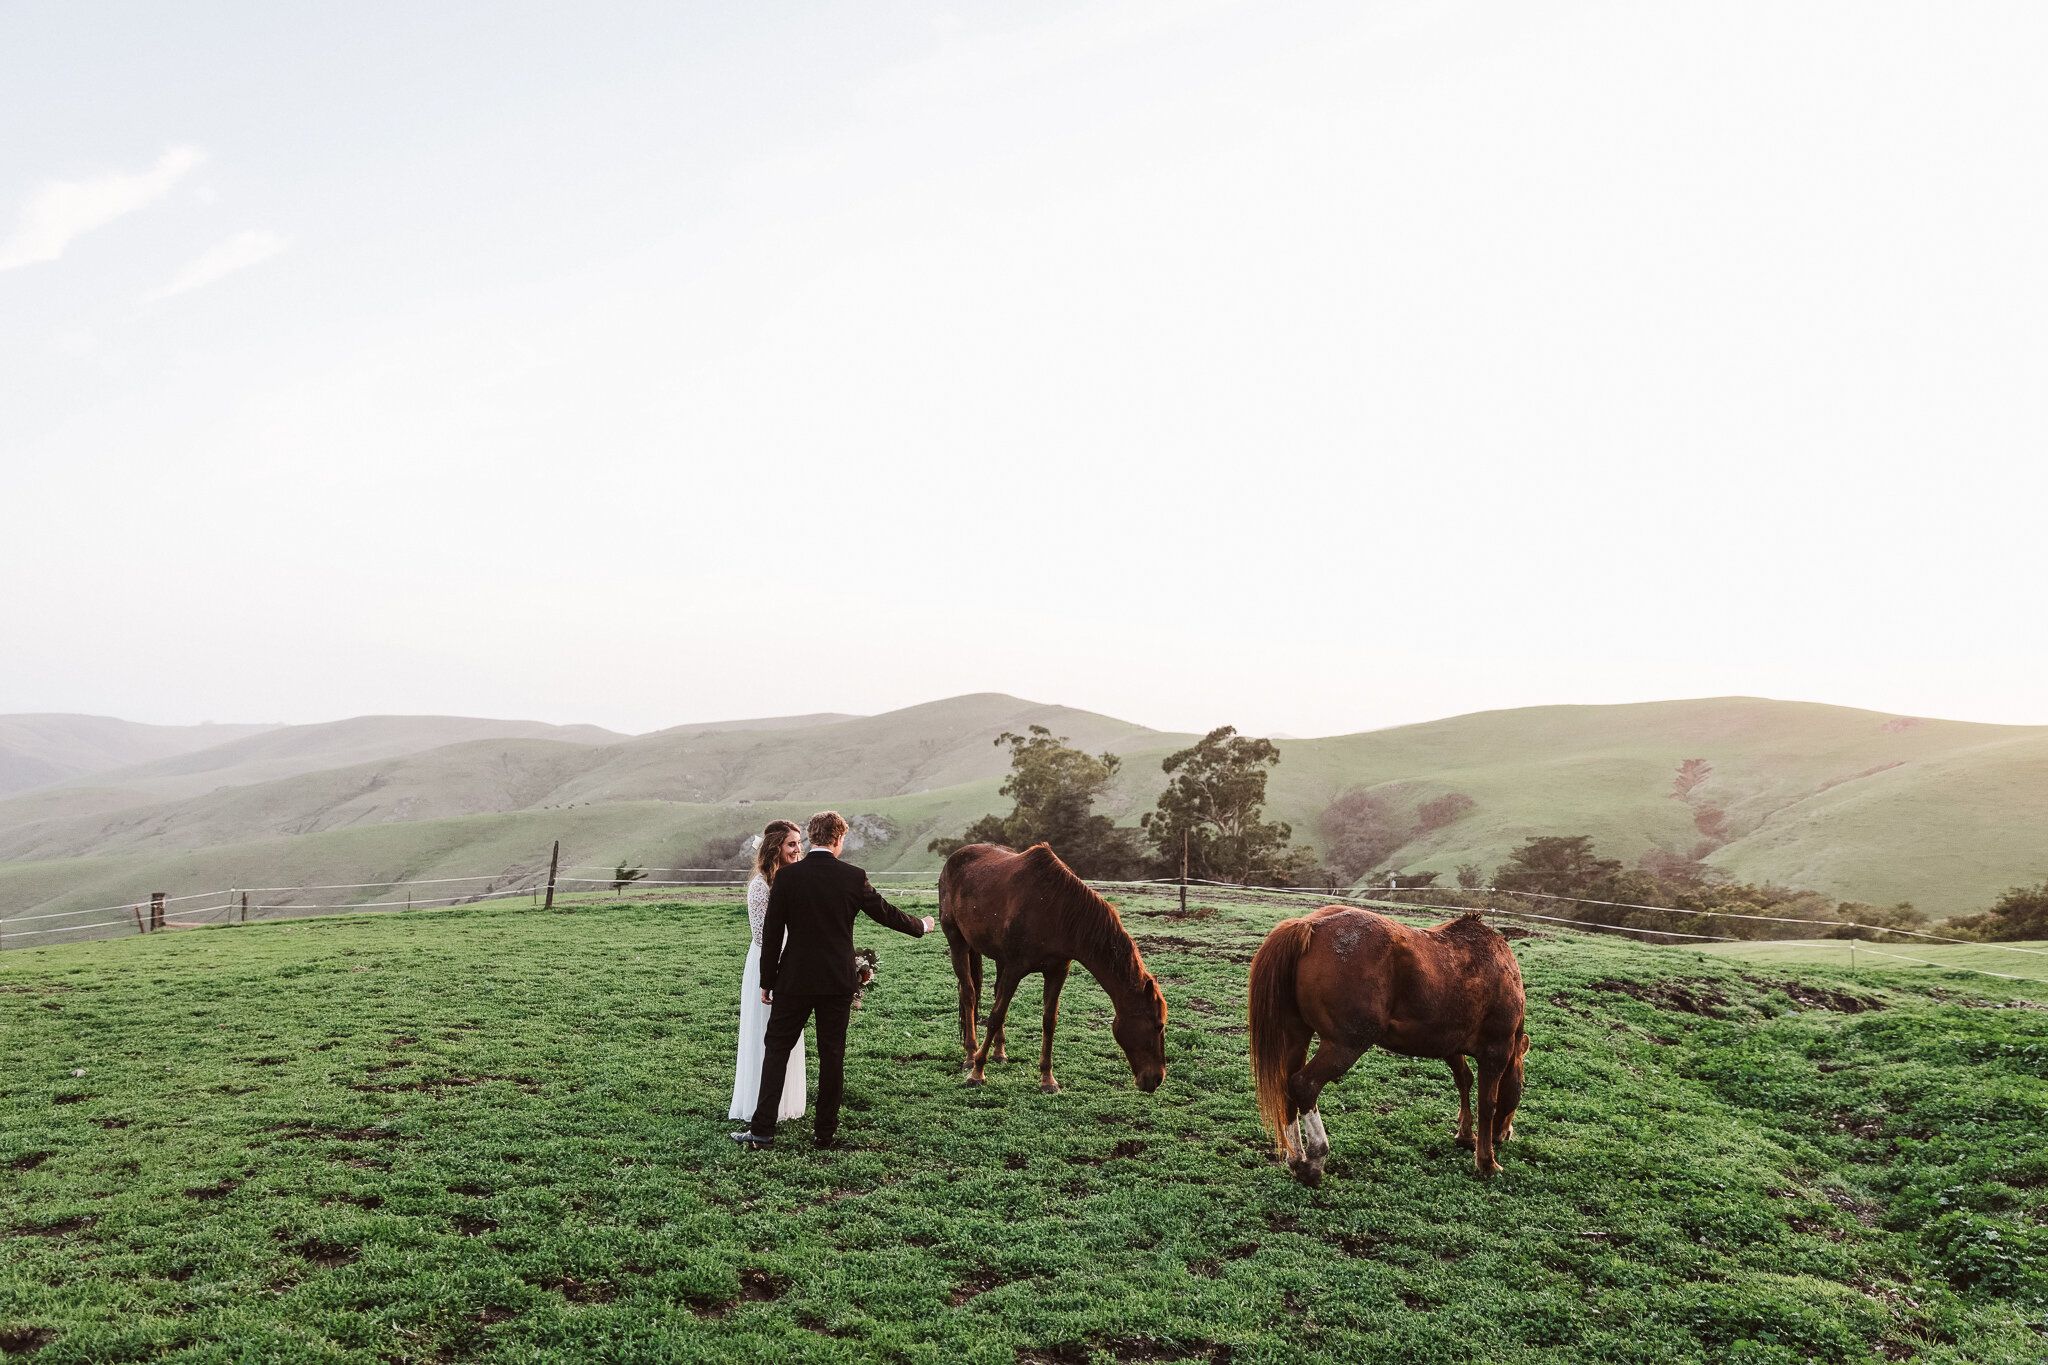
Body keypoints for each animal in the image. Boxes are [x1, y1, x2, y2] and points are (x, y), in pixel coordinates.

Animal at [937, 839, 1171, 1096]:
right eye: (1158, 1025)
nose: (1156, 1079)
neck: (1056, 910)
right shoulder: (1015, 969)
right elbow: (996, 1015)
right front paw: (977, 1072)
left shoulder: (1057, 971)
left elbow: (1049, 1021)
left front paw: (1047, 1079)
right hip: (957, 942)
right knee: (969, 994)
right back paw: (971, 1055)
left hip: (998, 958)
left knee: (994, 992)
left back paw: (999, 1053)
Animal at [1245, 908, 1523, 1186]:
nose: (1504, 1134)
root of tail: (1310, 925)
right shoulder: (1496, 1051)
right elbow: (1487, 1103)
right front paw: (1486, 1161)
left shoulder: (1450, 1046)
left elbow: (1464, 1080)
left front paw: (1465, 1135)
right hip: (1345, 1046)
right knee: (1305, 1085)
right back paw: (1315, 1159)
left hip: (1297, 1038)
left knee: (1287, 1087)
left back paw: (1296, 1159)